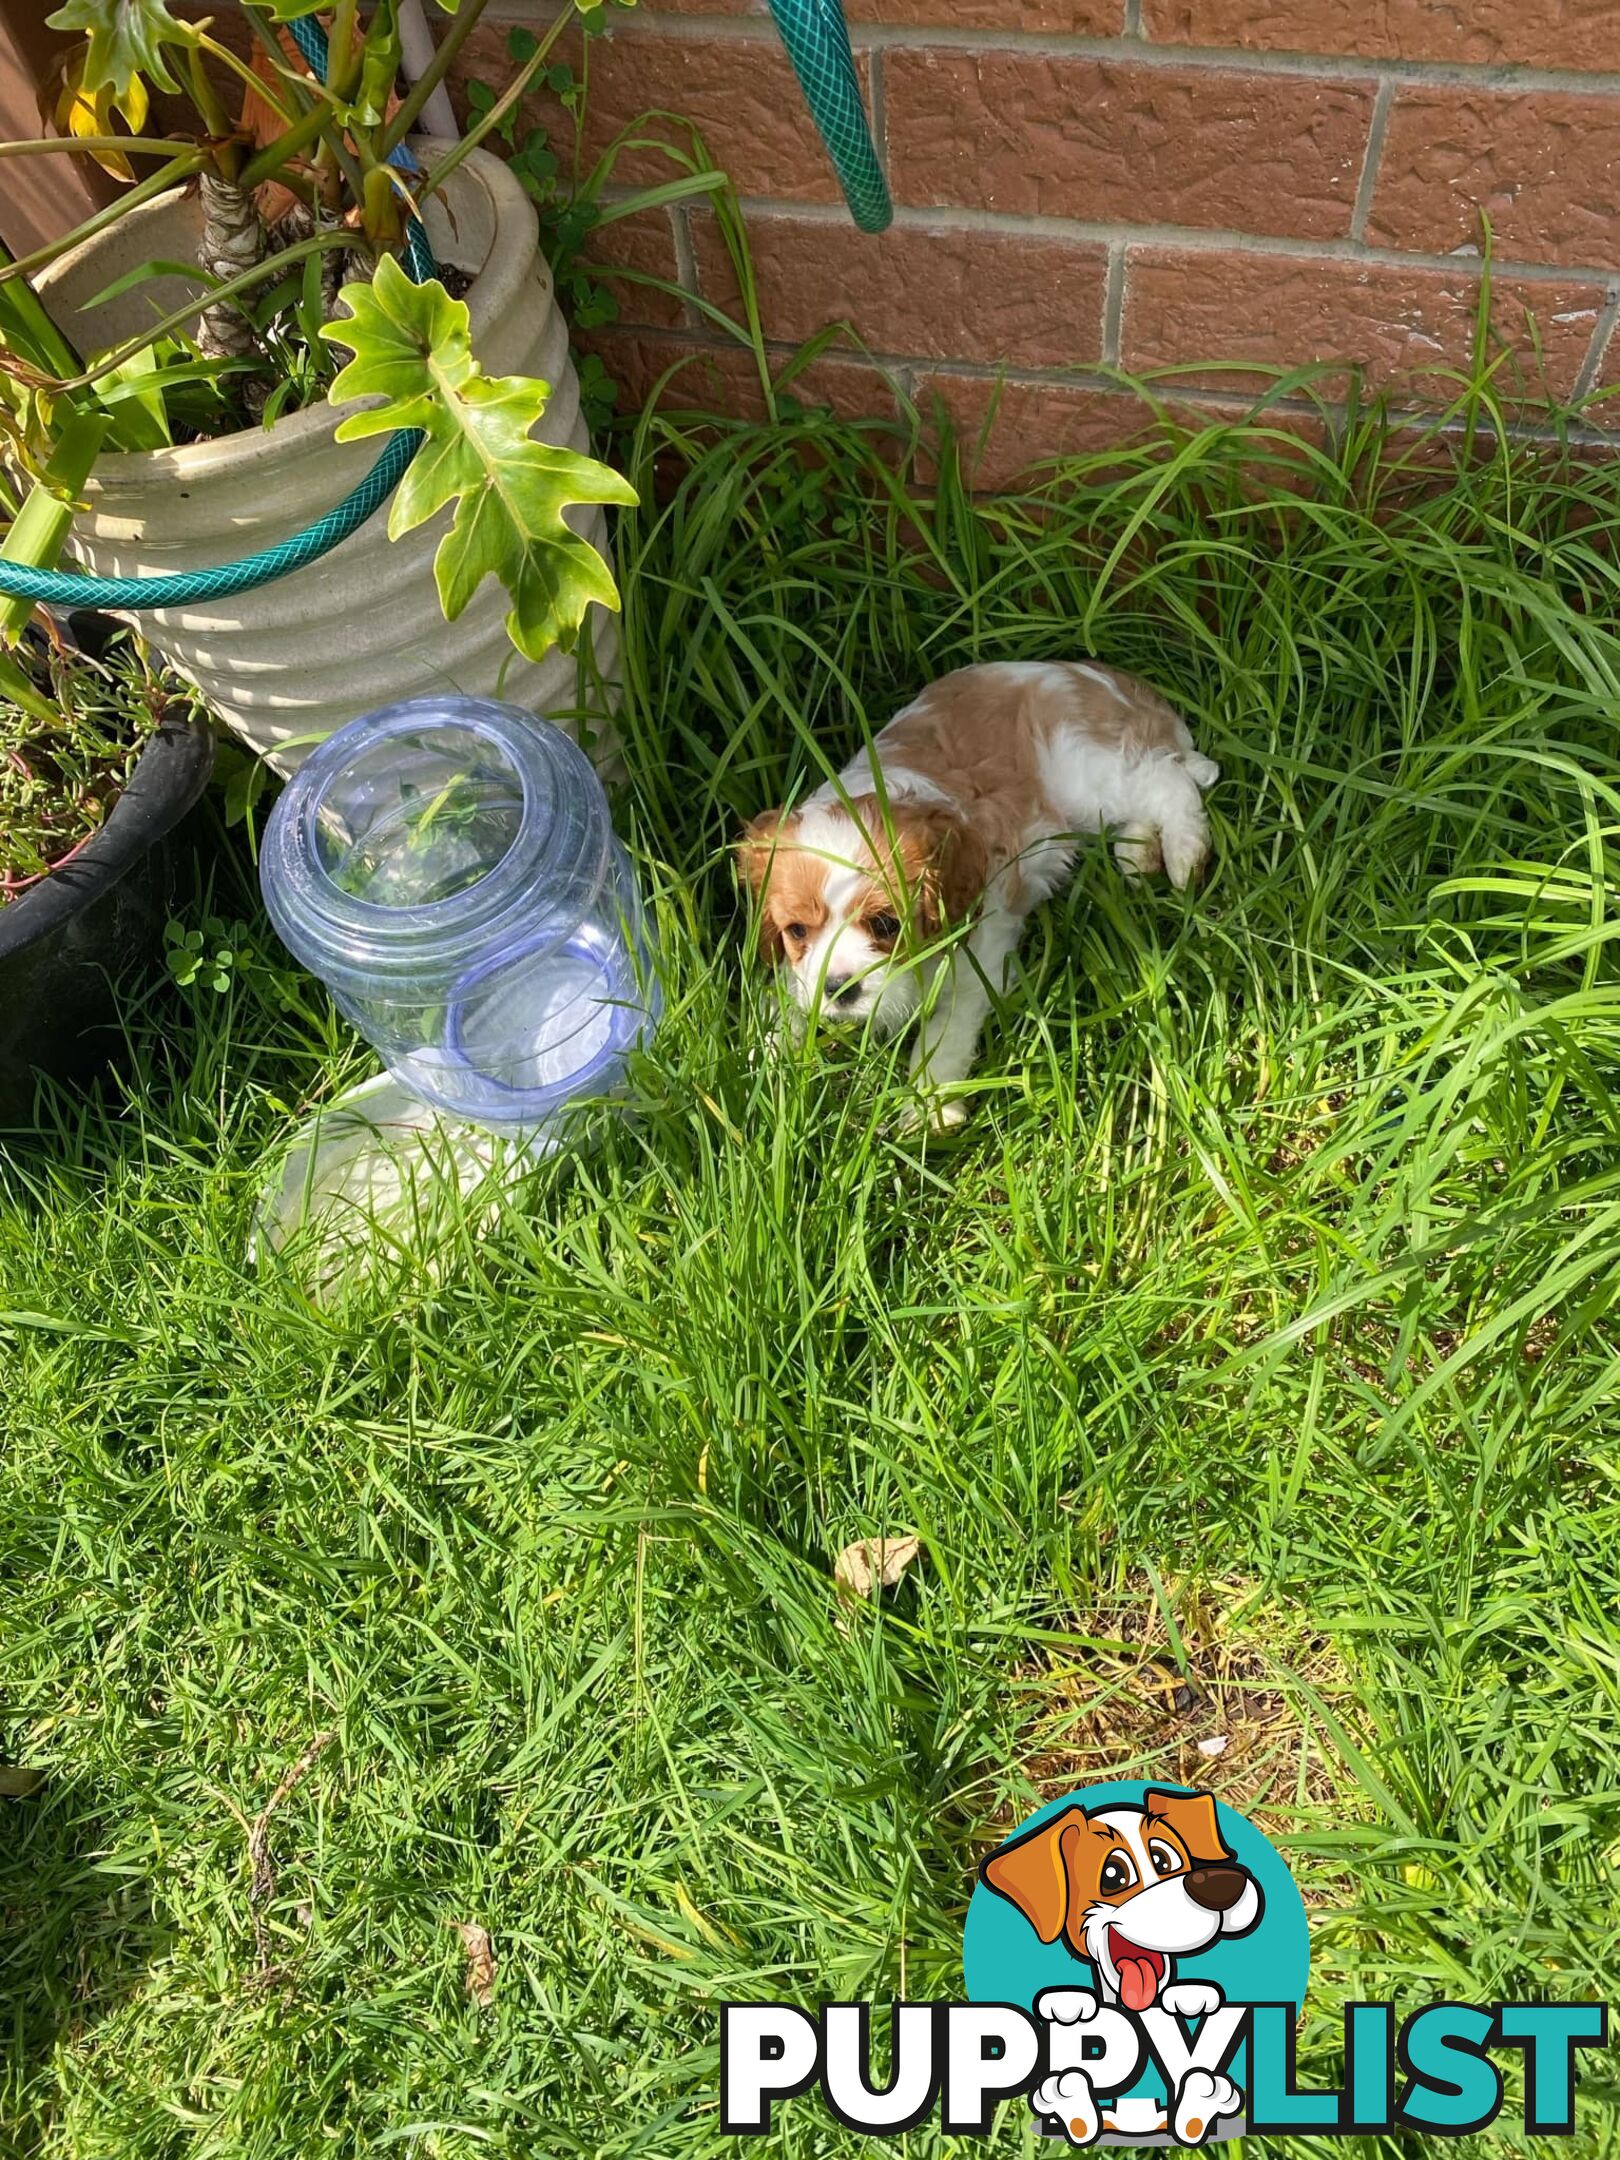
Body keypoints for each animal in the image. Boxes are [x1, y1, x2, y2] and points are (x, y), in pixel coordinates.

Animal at [738, 656, 1218, 1131]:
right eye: (797, 931)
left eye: (885, 924)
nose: (839, 989)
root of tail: (1103, 677)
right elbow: (787, 1002)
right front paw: (766, 1069)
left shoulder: (978, 954)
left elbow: (945, 1031)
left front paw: (928, 1107)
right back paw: (1137, 853)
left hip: (1094, 771)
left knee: (1168, 781)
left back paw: (1183, 855)